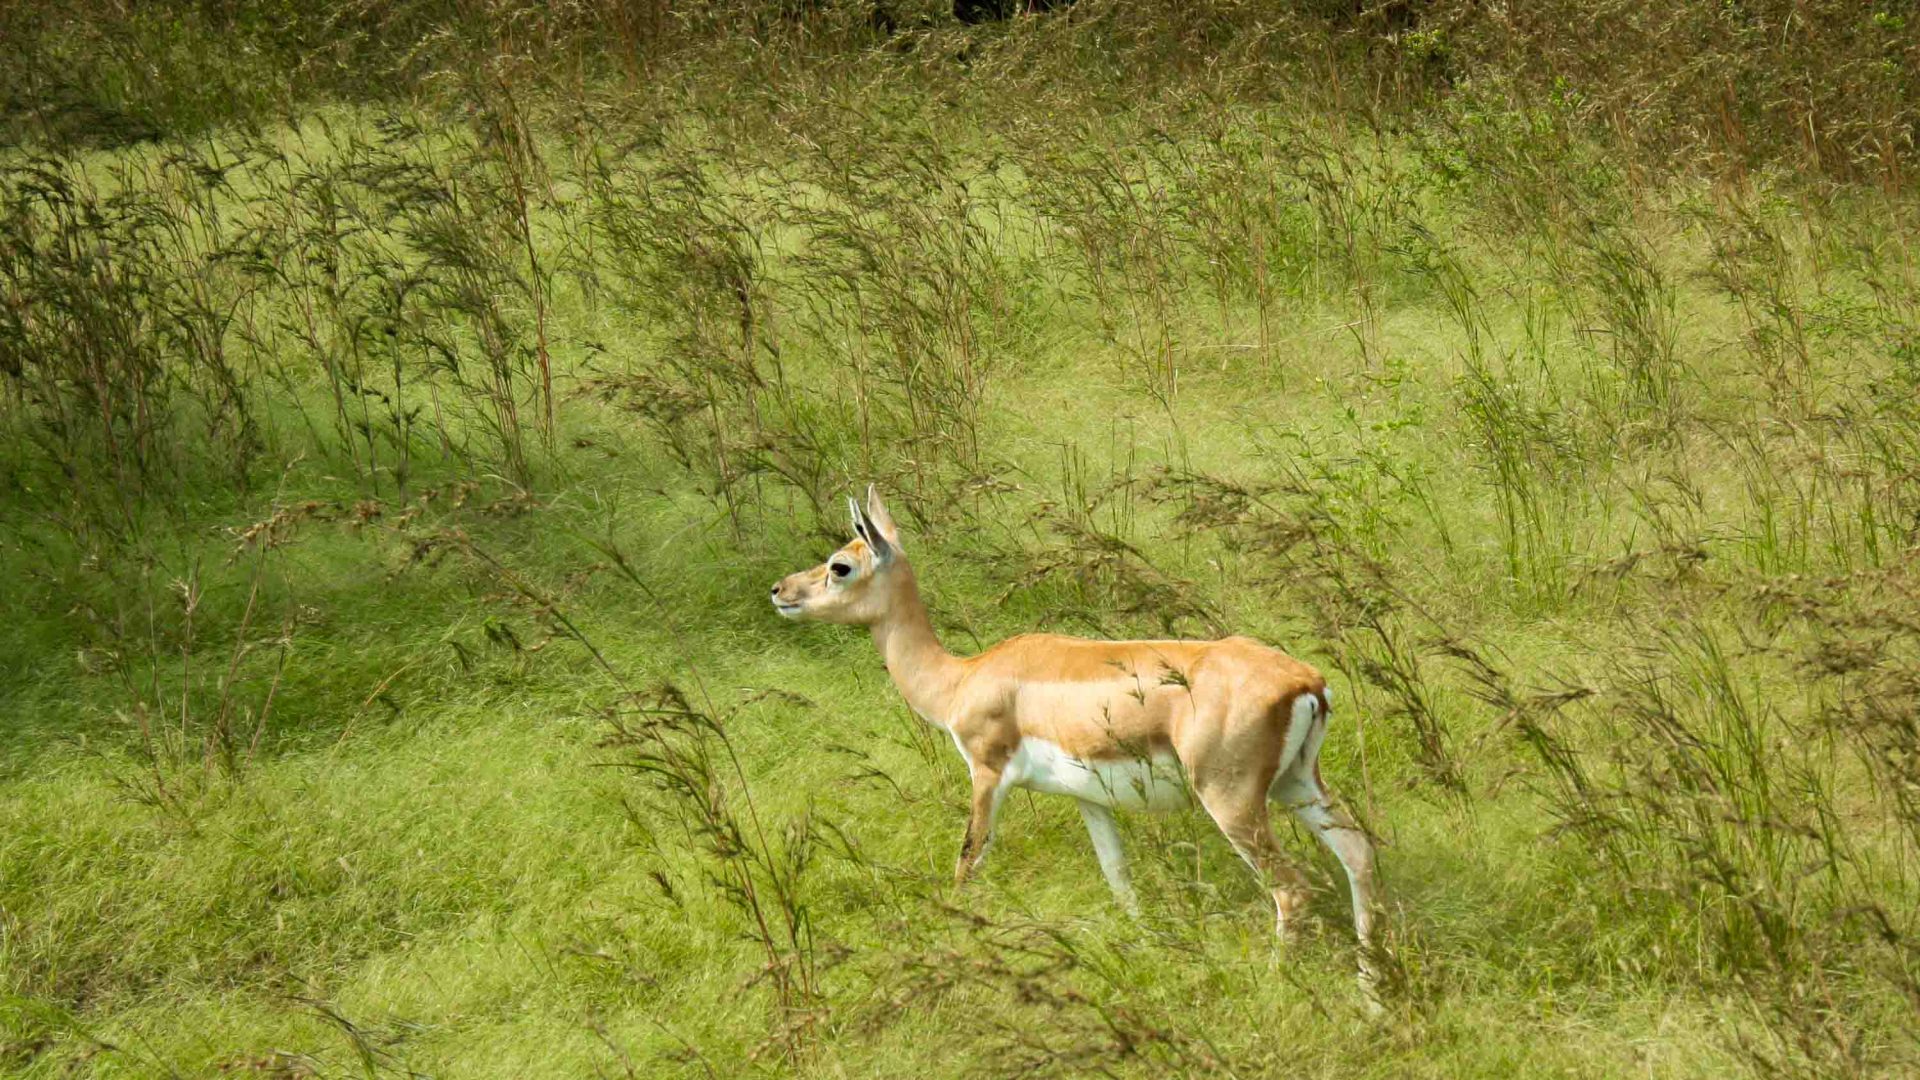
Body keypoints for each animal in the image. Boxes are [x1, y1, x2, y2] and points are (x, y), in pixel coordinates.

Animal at [764, 488, 1382, 983]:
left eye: (840, 565)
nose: (778, 590)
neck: (962, 678)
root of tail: (1305, 681)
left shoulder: (987, 773)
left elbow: (968, 861)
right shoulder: (1090, 799)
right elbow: (1119, 879)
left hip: (1233, 802)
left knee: (1292, 888)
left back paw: (1279, 981)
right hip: (1296, 784)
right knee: (1358, 853)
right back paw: (1370, 990)